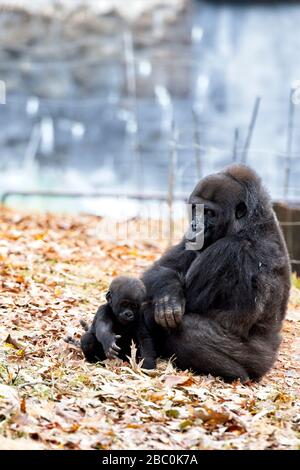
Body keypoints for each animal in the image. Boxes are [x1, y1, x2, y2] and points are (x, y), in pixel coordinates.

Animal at [142, 165, 292, 382]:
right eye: (195, 208)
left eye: (209, 213)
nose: (194, 226)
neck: (249, 224)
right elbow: (162, 269)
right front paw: (168, 295)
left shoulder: (230, 250)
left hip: (258, 361)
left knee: (187, 329)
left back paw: (235, 374)